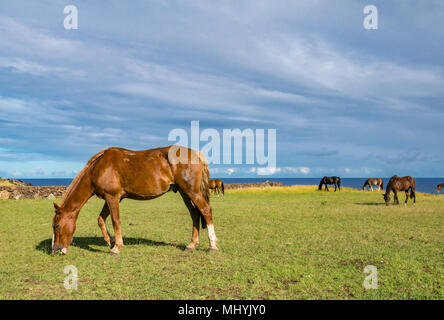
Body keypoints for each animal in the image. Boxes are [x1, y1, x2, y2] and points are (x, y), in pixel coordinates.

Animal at [52, 146, 219, 255]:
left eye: (57, 225)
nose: (55, 250)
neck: (99, 167)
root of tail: (196, 153)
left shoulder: (112, 197)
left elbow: (115, 220)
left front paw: (116, 247)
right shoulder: (111, 198)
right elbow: (101, 219)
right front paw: (109, 241)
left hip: (192, 192)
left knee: (206, 211)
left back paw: (212, 246)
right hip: (185, 193)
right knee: (195, 215)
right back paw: (191, 244)